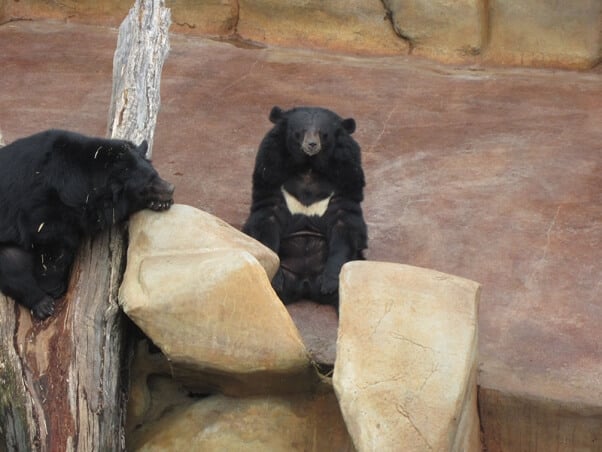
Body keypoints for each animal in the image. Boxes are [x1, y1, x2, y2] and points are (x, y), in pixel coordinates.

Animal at [0, 129, 173, 320]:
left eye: (155, 174)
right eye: (147, 185)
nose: (170, 188)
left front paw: (160, 204)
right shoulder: (44, 204)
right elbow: (51, 244)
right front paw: (54, 288)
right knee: (12, 267)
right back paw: (43, 304)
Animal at [243, 106, 366, 308]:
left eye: (323, 134)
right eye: (299, 132)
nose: (311, 145)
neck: (309, 167)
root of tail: (305, 283)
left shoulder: (346, 176)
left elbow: (345, 223)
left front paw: (330, 283)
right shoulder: (271, 171)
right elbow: (267, 219)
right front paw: (275, 279)